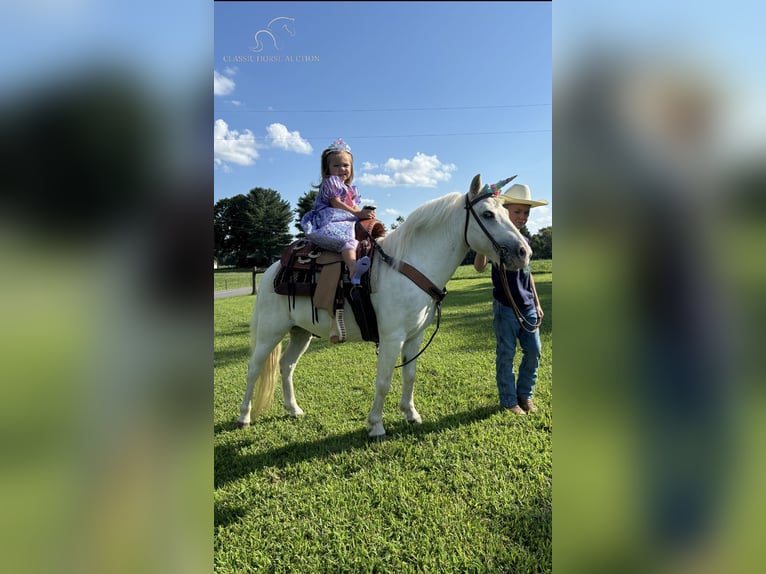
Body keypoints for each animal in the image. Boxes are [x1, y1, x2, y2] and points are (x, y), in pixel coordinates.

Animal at [237, 173, 532, 438]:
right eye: (488, 214)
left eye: (506, 213)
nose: (524, 252)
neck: (407, 266)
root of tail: (272, 270)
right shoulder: (392, 338)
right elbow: (383, 381)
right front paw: (376, 425)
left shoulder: (414, 336)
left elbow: (410, 376)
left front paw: (411, 414)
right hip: (270, 332)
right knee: (253, 369)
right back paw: (244, 417)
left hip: (301, 332)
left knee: (286, 366)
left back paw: (293, 409)